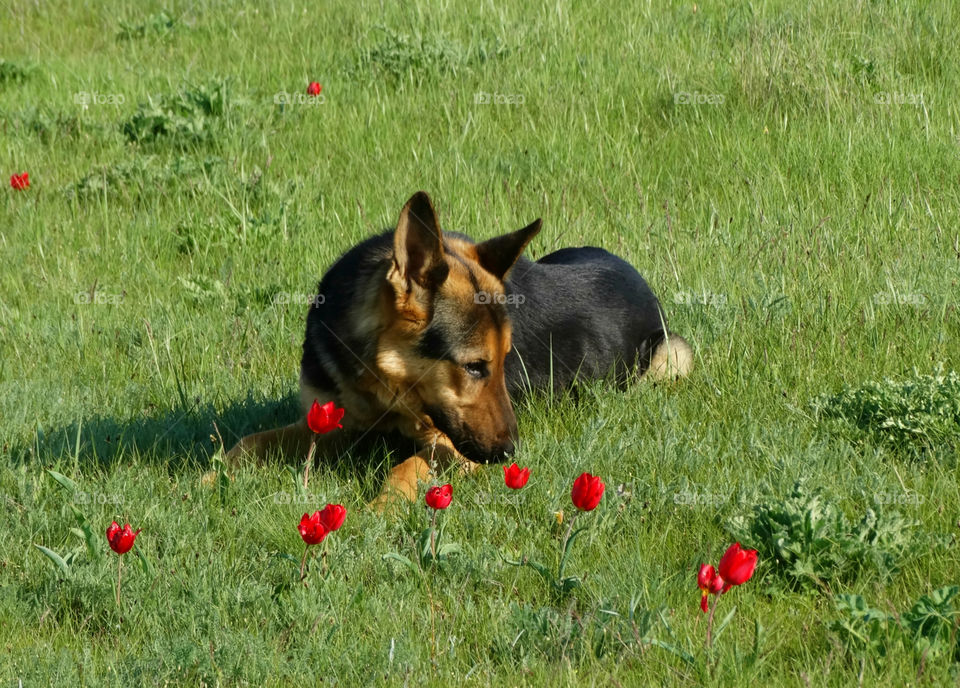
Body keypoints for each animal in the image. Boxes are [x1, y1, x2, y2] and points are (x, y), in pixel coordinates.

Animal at [225, 191, 688, 502]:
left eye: (503, 362)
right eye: (474, 366)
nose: (510, 455)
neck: (380, 379)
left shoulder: (447, 445)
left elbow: (406, 467)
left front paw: (379, 511)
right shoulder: (327, 422)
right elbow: (249, 442)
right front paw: (213, 480)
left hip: (673, 356)